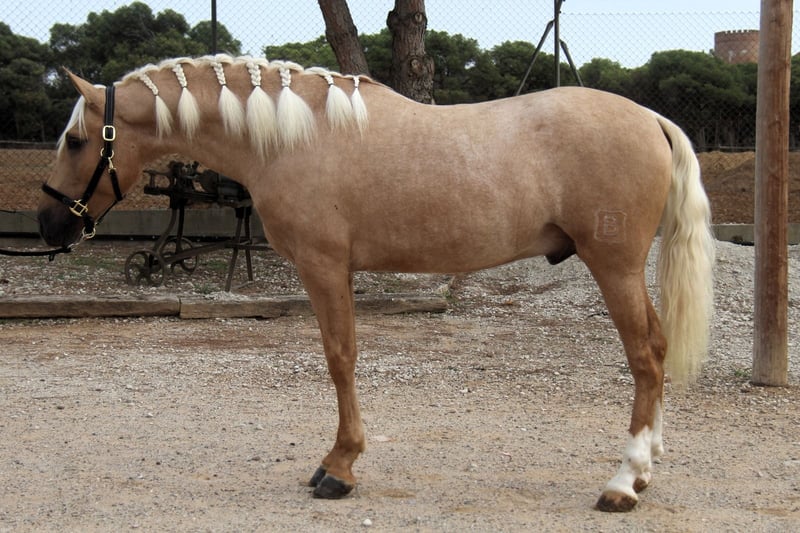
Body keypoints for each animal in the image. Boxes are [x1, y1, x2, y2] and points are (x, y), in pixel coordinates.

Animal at [37, 54, 715, 512]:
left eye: (76, 140)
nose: (48, 224)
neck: (298, 136)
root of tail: (650, 118)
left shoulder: (323, 267)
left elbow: (340, 359)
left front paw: (339, 467)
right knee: (655, 352)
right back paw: (645, 466)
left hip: (615, 266)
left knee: (645, 357)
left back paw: (623, 481)